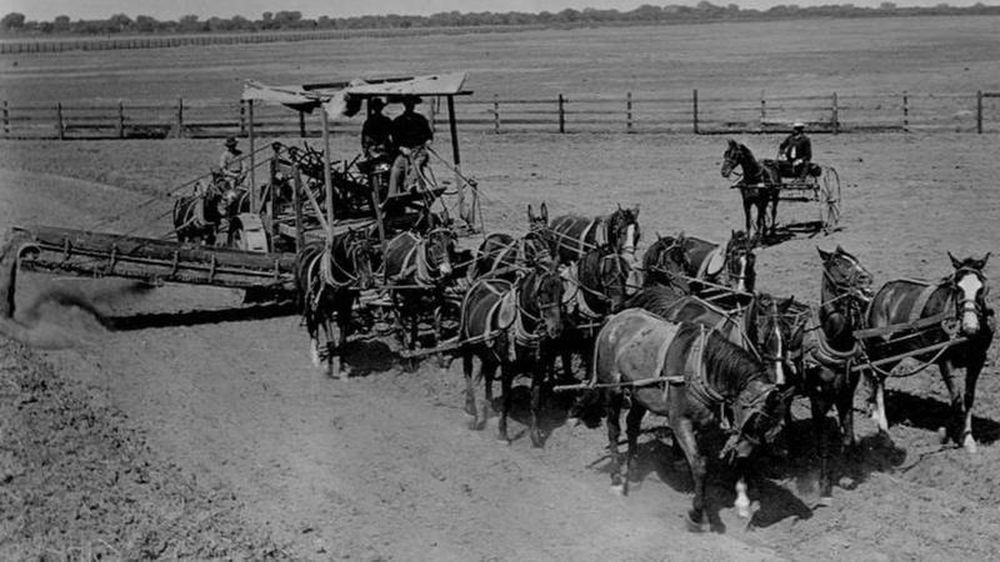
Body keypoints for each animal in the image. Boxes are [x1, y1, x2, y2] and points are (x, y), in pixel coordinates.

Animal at [296, 226, 378, 376]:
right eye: (358, 253)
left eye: (372, 252)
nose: (369, 282)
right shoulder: (324, 310)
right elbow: (330, 342)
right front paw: (329, 369)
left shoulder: (345, 309)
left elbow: (342, 342)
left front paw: (342, 367)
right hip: (308, 302)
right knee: (312, 326)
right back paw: (315, 356)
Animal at [458, 260, 564, 446]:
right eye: (543, 291)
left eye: (562, 291)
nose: (556, 329)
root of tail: (483, 281)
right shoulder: (507, 368)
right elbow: (506, 402)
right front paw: (502, 433)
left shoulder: (539, 368)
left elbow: (535, 402)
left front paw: (535, 436)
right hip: (467, 346)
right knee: (468, 374)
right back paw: (472, 412)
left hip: (490, 356)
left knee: (488, 377)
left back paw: (487, 410)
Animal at [588, 308, 792, 528]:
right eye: (756, 419)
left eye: (772, 427)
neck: (702, 367)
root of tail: (615, 320)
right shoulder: (680, 421)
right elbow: (699, 464)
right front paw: (697, 512)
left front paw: (742, 502)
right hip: (613, 388)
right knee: (613, 429)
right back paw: (617, 479)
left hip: (639, 393)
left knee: (632, 424)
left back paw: (633, 469)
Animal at [860, 252, 992, 452]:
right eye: (956, 288)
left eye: (982, 288)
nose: (971, 327)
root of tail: (882, 293)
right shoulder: (945, 361)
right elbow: (956, 398)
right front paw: (951, 434)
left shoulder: (977, 360)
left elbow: (968, 398)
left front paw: (968, 439)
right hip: (884, 349)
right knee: (878, 380)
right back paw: (883, 428)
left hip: (896, 351)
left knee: (877, 377)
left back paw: (875, 413)